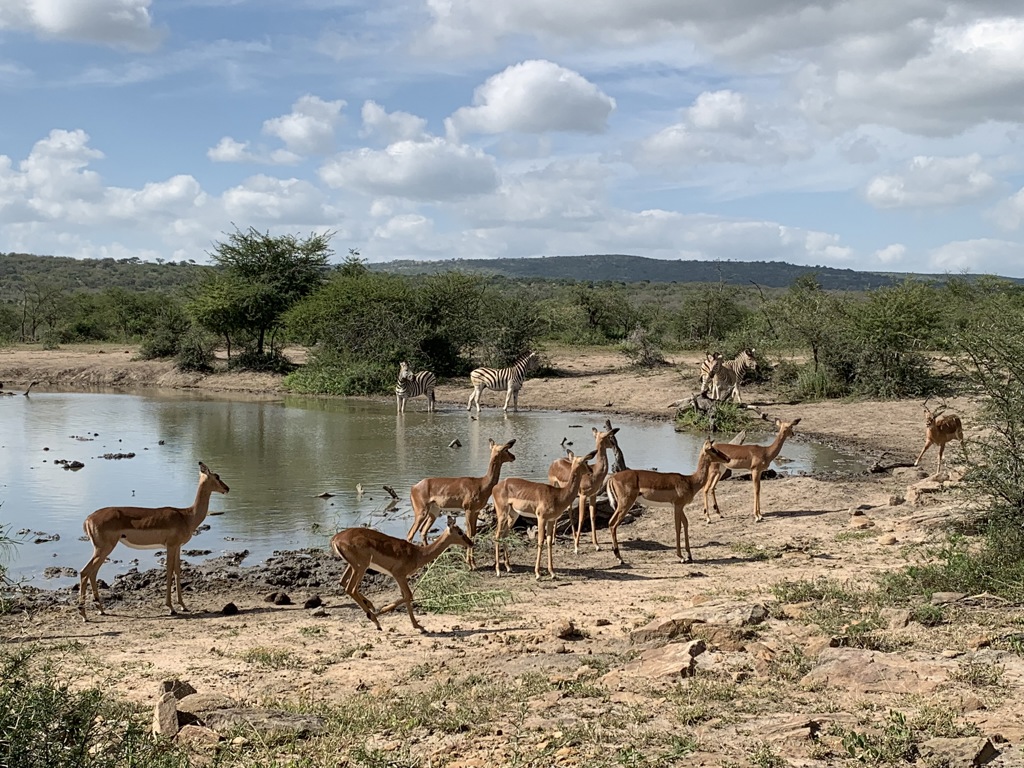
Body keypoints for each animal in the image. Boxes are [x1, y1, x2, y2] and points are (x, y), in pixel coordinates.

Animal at [79, 461, 229, 620]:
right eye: (217, 476)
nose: (227, 488)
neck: (186, 516)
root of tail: (88, 519)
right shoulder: (170, 546)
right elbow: (169, 571)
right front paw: (171, 608)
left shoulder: (178, 546)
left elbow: (177, 571)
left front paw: (183, 606)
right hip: (104, 548)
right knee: (85, 572)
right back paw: (84, 615)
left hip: (102, 550)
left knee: (92, 573)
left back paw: (100, 610)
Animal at [330, 516, 473, 633]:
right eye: (460, 532)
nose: (471, 543)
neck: (417, 553)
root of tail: (336, 539)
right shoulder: (399, 575)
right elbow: (409, 595)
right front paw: (382, 610)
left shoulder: (400, 577)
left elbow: (406, 596)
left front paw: (418, 626)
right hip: (361, 567)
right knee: (351, 589)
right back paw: (375, 620)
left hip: (353, 566)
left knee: (343, 582)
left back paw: (371, 609)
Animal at [406, 438, 516, 567]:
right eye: (505, 449)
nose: (513, 456)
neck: (482, 485)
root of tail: (413, 488)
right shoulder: (468, 509)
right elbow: (469, 533)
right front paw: (470, 564)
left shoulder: (476, 511)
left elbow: (473, 533)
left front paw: (473, 563)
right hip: (421, 511)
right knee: (410, 533)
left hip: (434, 511)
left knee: (423, 531)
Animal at [492, 450, 597, 579]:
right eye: (585, 461)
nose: (591, 471)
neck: (558, 495)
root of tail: (496, 487)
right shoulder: (541, 518)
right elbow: (540, 541)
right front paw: (537, 573)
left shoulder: (550, 520)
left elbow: (549, 542)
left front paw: (552, 573)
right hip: (502, 514)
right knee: (497, 535)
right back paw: (498, 571)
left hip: (513, 515)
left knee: (504, 534)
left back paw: (509, 567)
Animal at [547, 424, 621, 553]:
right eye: (608, 436)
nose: (613, 445)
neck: (594, 472)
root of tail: (555, 461)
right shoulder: (583, 495)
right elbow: (581, 518)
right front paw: (576, 547)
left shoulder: (593, 495)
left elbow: (592, 517)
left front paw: (597, 545)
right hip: (555, 486)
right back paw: (556, 540)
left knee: (569, 510)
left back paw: (564, 538)